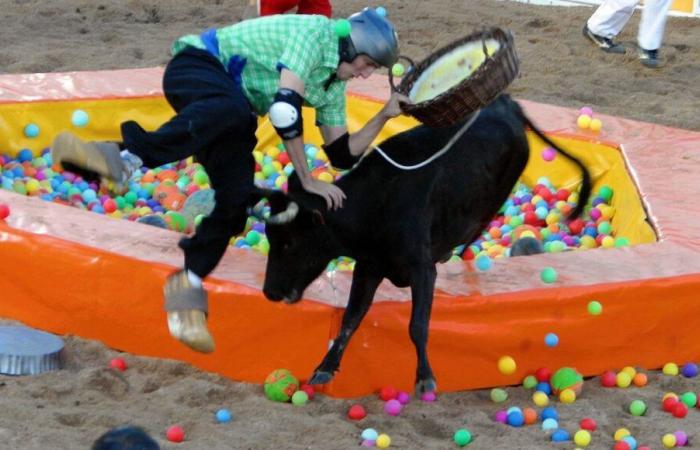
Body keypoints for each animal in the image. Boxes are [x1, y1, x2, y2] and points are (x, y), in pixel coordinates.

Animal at [258, 95, 592, 394]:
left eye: (291, 243)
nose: (270, 291)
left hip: (494, 198)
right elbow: (351, 319)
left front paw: (425, 378)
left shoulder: (421, 268)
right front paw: (325, 368)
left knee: (475, 229)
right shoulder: (368, 267)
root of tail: (507, 103)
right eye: (271, 239)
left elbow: (417, 324)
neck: (376, 204)